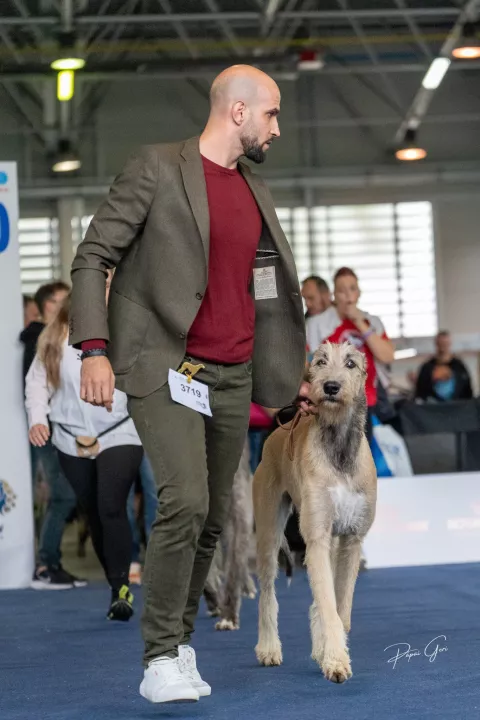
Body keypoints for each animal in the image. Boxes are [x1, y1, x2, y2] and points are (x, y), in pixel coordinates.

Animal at [253, 342, 377, 683]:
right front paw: (335, 661)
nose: (330, 387)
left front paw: (329, 653)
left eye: (351, 363)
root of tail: (279, 431)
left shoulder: (351, 538)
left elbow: (340, 607)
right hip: (268, 528)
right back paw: (268, 647)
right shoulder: (317, 536)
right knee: (267, 591)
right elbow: (328, 606)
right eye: (320, 361)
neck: (339, 449)